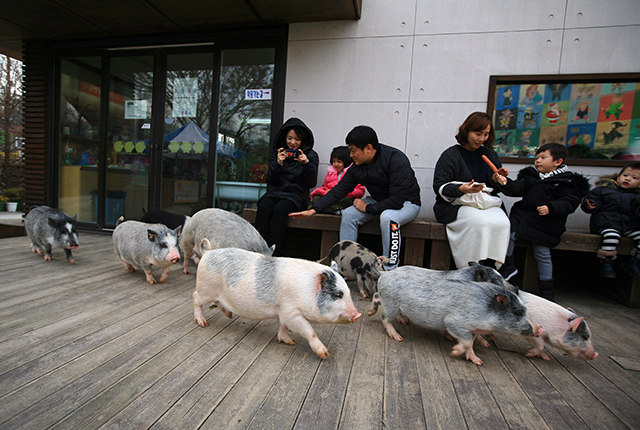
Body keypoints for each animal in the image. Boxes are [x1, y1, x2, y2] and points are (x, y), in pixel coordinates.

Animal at [368, 268, 544, 364]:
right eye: (518, 312)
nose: (540, 329)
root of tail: (385, 274)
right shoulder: (454, 322)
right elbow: (465, 341)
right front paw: (454, 351)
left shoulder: (473, 329)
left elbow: (471, 344)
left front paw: (478, 361)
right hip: (391, 303)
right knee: (384, 317)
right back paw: (397, 337)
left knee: (377, 298)